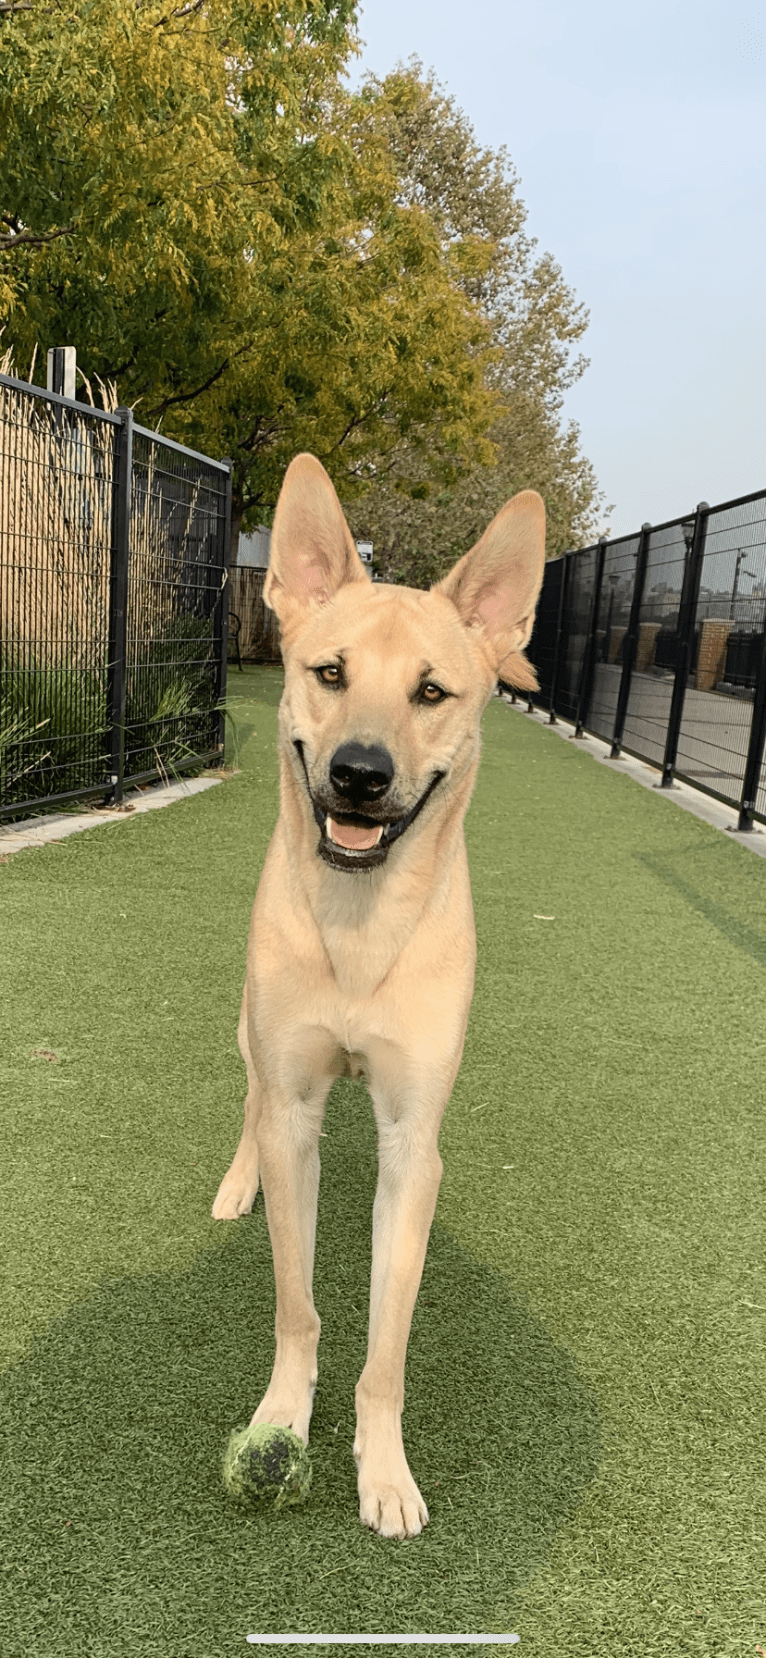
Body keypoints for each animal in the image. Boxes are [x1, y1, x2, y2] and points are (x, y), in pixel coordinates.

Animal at [209, 457, 543, 1538]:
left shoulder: (411, 1142)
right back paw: (236, 1182)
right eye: (329, 673)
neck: (359, 930)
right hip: (249, 1034)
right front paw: (281, 1418)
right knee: (247, 1100)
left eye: (431, 690)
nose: (360, 773)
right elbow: (298, 1302)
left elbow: (388, 1345)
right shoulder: (296, 1103)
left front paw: (385, 1468)